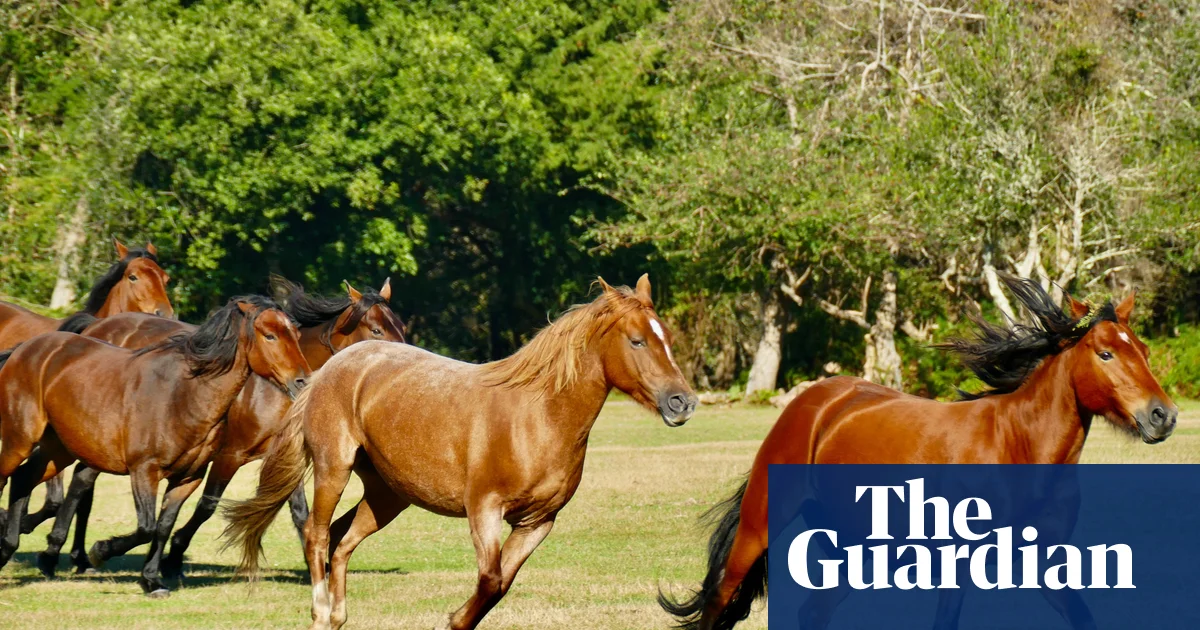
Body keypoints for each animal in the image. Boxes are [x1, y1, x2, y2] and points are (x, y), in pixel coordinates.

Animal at [0, 296, 310, 597]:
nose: (303, 381)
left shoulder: (189, 477)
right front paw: (102, 551)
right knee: (11, 478)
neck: (183, 395)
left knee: (24, 479)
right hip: (20, 440)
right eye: (270, 335)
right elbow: (147, 527)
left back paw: (13, 546)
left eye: (296, 334)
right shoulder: (145, 470)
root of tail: (24, 349)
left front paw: (151, 580)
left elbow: (162, 526)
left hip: (59, 450)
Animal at [32, 278, 406, 578]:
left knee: (82, 481)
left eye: (400, 325)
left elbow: (300, 513)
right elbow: (206, 506)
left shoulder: (284, 458)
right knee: (81, 484)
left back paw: (76, 555)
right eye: (376, 330)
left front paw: (318, 564)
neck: (268, 391)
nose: (401, 365)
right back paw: (58, 553)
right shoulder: (229, 455)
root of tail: (96, 328)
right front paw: (172, 558)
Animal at [223, 275, 699, 630]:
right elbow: (489, 580)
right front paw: (449, 620)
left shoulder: (537, 522)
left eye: (665, 338)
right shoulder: (483, 509)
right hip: (332, 469)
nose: (683, 402)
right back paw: (322, 613)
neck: (536, 416)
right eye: (637, 341)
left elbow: (500, 585)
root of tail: (330, 369)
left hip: (388, 495)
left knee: (341, 541)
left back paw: (338, 616)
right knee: (317, 535)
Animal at [662, 275, 1178, 630]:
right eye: (1105, 353)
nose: (1163, 416)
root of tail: (817, 401)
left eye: (1144, 351)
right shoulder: (958, 562)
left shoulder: (1046, 560)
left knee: (813, 611)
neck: (1019, 447)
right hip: (760, 526)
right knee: (718, 600)